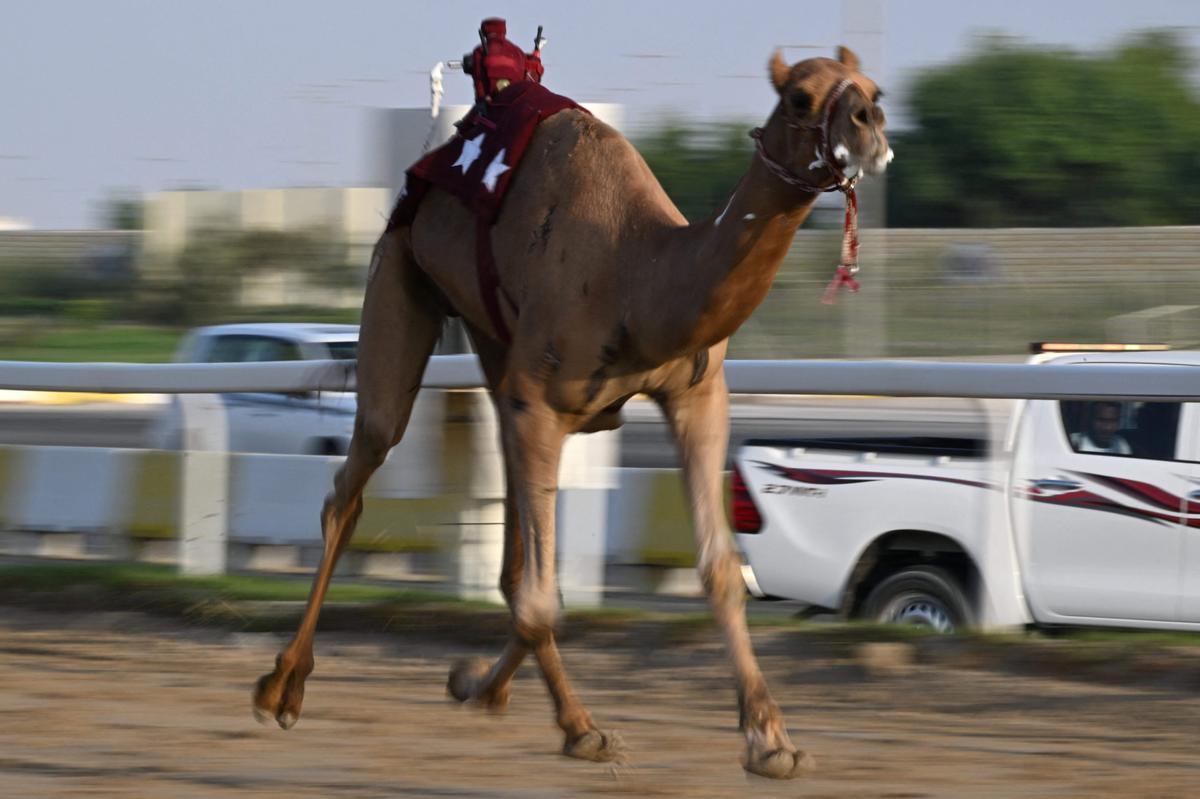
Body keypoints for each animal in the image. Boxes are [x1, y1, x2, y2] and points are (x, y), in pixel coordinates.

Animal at [253, 46, 892, 772]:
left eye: (872, 88)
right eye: (799, 98)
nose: (870, 126)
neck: (640, 274)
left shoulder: (696, 395)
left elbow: (718, 569)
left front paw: (770, 738)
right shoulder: (542, 401)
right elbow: (541, 597)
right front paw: (580, 722)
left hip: (493, 344)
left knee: (507, 538)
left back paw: (491, 688)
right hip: (399, 271)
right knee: (358, 478)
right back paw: (283, 686)